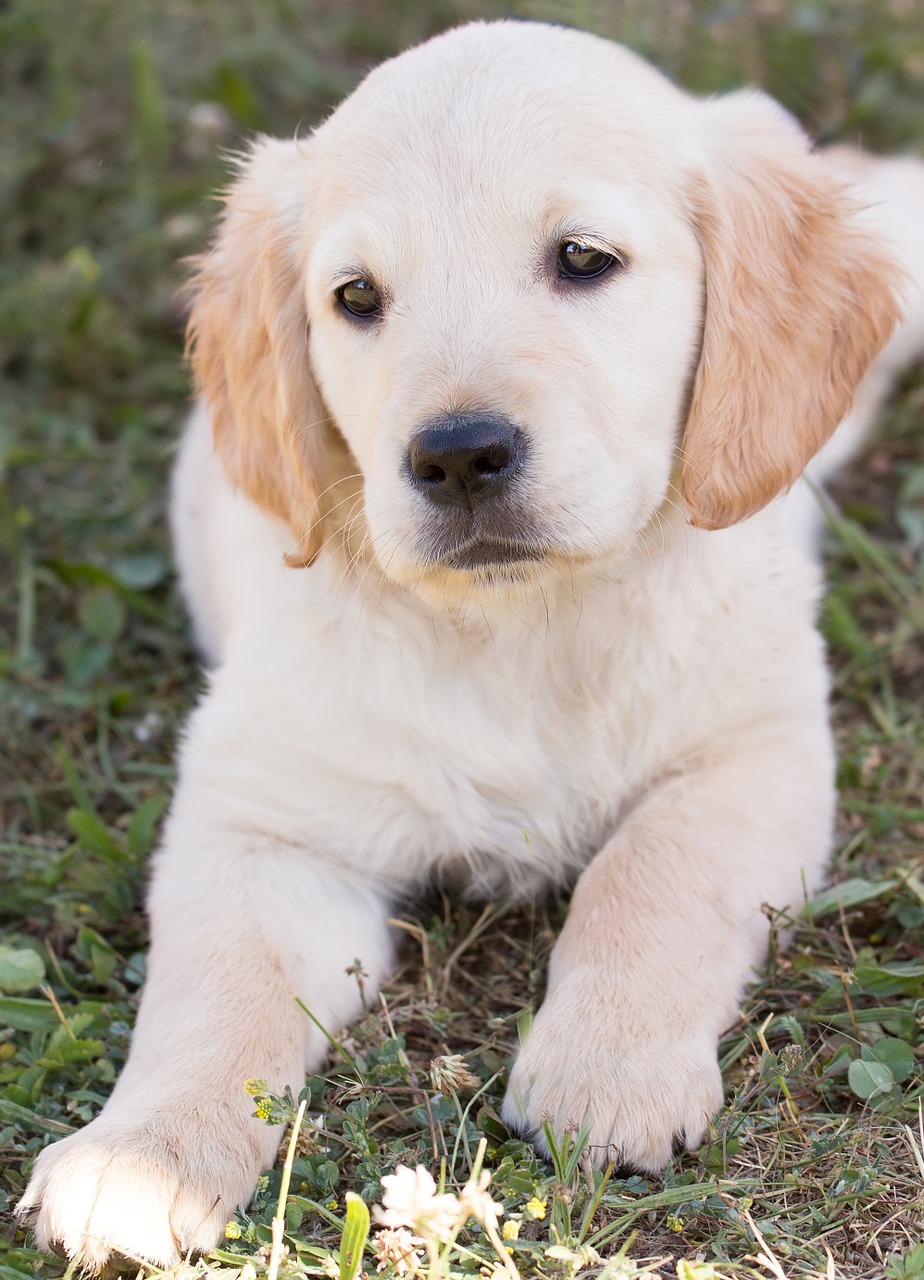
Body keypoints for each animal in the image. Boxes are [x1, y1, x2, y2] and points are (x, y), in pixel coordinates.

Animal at [16, 17, 921, 1269]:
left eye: (584, 259)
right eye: (356, 296)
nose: (456, 456)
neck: (521, 626)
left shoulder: (755, 748)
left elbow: (654, 874)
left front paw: (608, 1068)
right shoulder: (263, 824)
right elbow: (215, 986)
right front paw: (141, 1156)